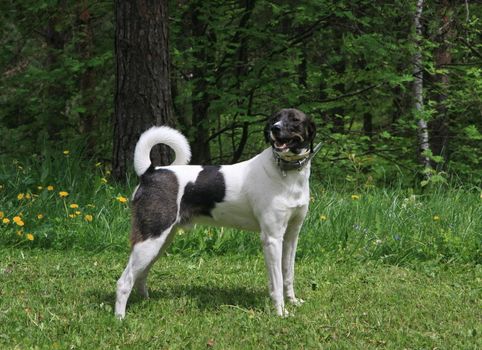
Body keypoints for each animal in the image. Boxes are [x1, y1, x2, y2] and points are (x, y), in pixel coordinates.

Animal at [115, 107, 318, 318]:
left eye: (295, 120)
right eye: (275, 119)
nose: (275, 129)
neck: (287, 175)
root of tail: (150, 172)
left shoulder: (291, 236)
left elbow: (288, 275)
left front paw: (293, 302)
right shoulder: (272, 238)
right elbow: (276, 282)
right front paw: (280, 312)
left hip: (160, 241)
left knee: (140, 275)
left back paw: (145, 301)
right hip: (150, 239)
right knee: (124, 281)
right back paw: (120, 318)